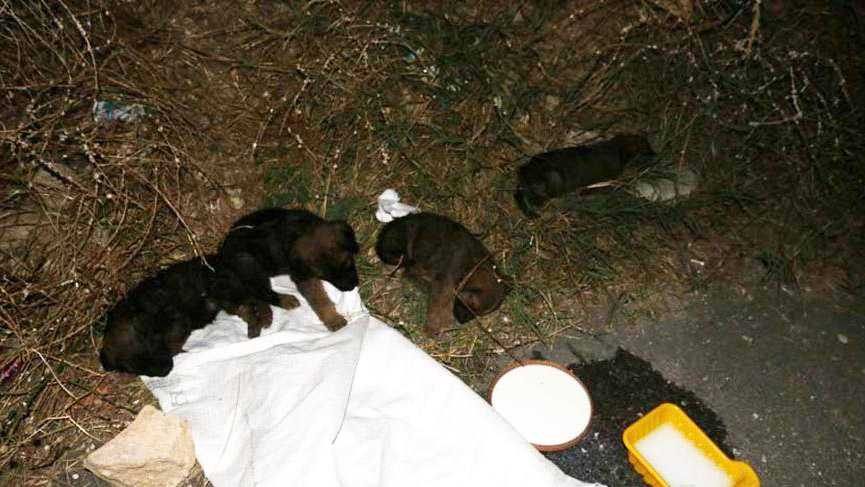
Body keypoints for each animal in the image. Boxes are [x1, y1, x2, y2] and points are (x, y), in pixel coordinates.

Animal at [221, 208, 360, 334]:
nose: (351, 287)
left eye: (348, 263)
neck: (302, 230)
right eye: (325, 277)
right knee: (261, 292)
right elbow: (320, 300)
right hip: (249, 264)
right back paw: (283, 301)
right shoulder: (303, 277)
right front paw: (333, 319)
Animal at [374, 214, 510, 340]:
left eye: (476, 314)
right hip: (404, 246)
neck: (473, 267)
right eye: (469, 308)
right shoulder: (444, 283)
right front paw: (431, 328)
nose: (462, 322)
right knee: (408, 269)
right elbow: (438, 304)